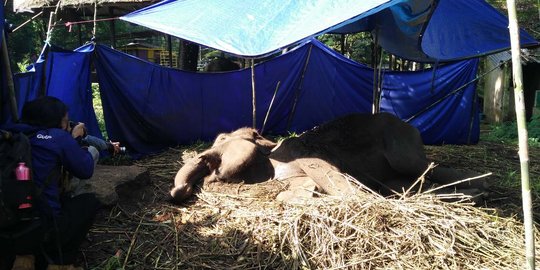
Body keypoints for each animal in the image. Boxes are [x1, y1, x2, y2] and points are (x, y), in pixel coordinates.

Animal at [171, 111, 488, 202]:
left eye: (222, 140)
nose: (178, 192)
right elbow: (289, 192)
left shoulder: (306, 155)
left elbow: (347, 191)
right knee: (410, 182)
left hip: (401, 144)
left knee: (424, 167)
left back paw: (478, 190)